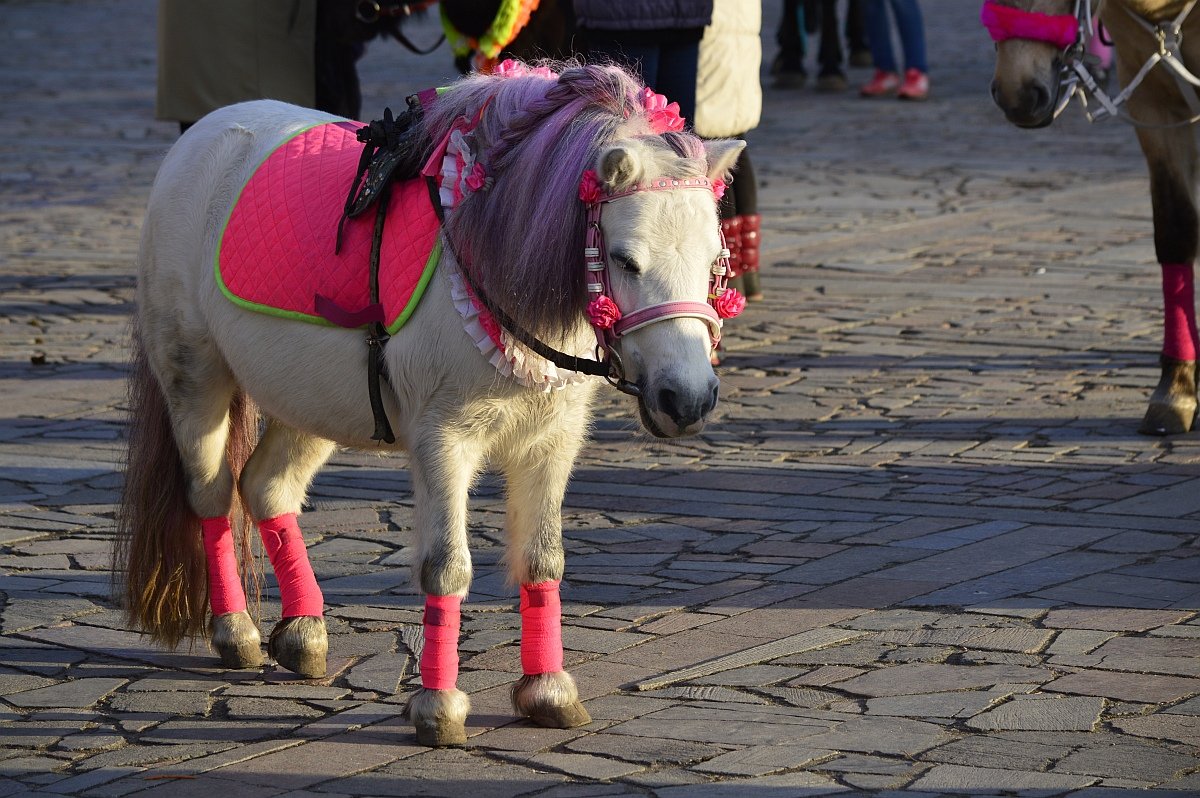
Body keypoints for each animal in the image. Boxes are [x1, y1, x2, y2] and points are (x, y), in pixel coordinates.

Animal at [117, 63, 744, 748]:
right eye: (626, 260)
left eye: (716, 259)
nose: (687, 397)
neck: (488, 252)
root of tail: (201, 134)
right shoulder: (444, 441)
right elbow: (447, 568)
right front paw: (439, 707)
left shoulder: (551, 442)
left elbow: (543, 558)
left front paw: (548, 691)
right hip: (196, 375)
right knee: (211, 496)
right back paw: (236, 631)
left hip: (309, 401)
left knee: (266, 488)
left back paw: (304, 635)